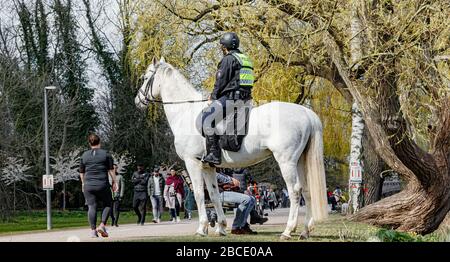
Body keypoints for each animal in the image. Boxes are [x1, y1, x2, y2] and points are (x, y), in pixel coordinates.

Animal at [134, 57, 326, 239]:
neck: (186, 111)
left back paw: (288, 230)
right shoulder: (208, 167)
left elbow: (199, 194)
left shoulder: (192, 162)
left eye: (145, 77)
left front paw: (202, 228)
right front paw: (221, 227)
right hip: (300, 161)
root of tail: (306, 112)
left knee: (295, 191)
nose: (137, 101)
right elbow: (214, 195)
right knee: (307, 190)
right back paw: (305, 231)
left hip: (286, 161)